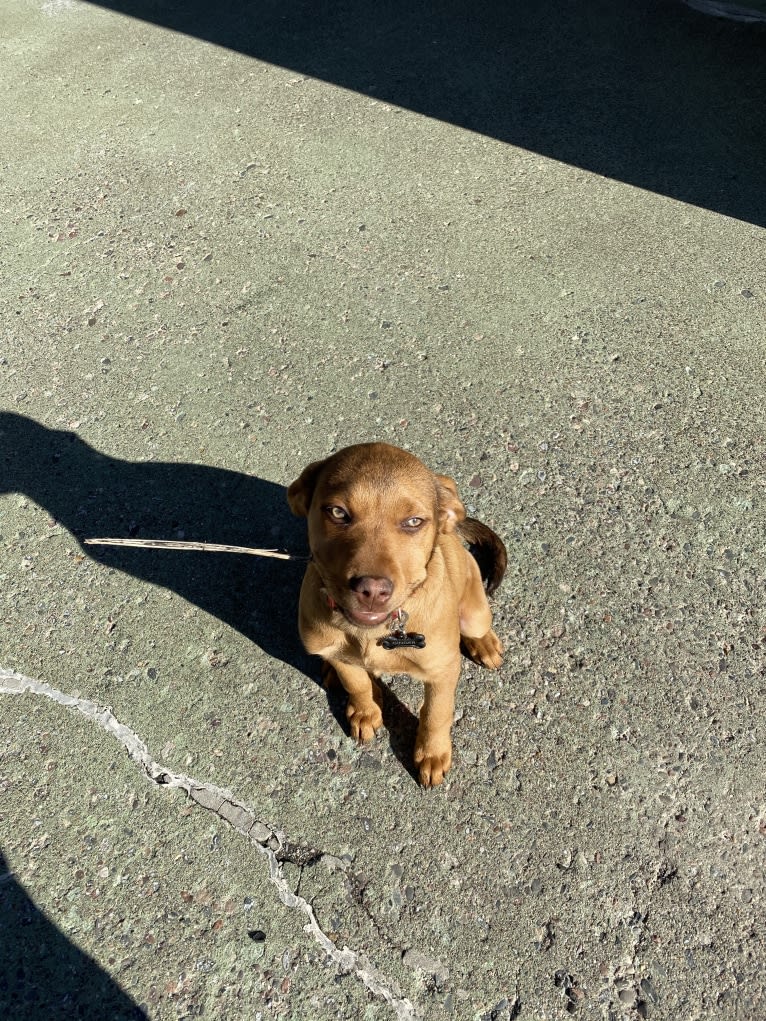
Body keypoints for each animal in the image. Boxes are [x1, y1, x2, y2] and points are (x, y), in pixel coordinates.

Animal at [285, 443, 506, 784]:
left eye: (414, 522)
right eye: (337, 512)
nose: (372, 590)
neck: (371, 633)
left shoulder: (442, 671)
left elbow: (436, 713)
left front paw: (432, 753)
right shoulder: (339, 653)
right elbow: (356, 683)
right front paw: (364, 711)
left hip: (474, 612)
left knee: (477, 625)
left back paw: (484, 643)